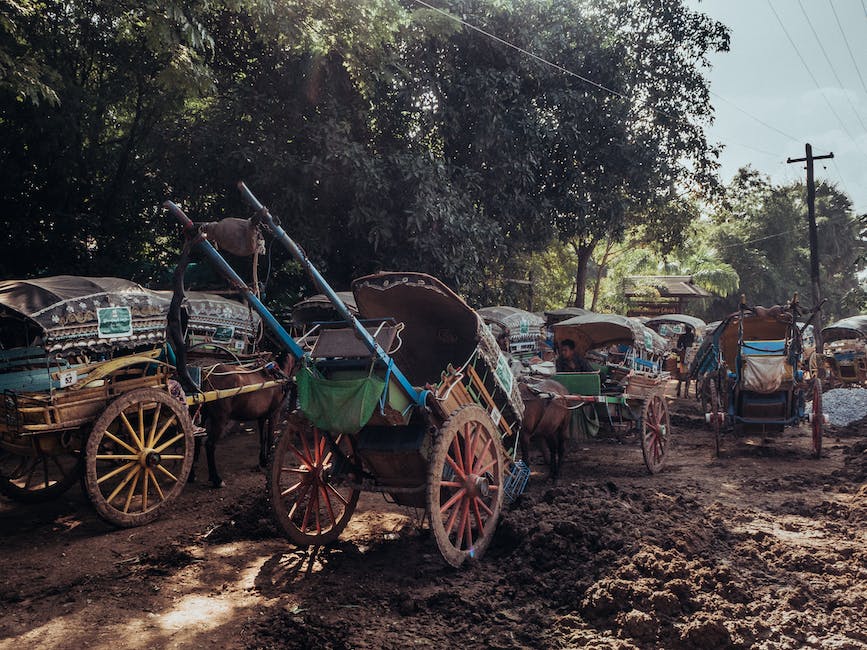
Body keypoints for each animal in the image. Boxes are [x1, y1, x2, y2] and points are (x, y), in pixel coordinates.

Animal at [191, 350, 294, 486]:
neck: (276, 376)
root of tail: (207, 375)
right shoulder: (274, 414)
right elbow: (271, 438)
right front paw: (268, 460)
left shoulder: (261, 417)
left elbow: (263, 438)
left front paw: (262, 460)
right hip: (220, 419)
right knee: (210, 445)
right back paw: (216, 479)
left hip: (202, 416)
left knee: (195, 440)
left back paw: (191, 475)